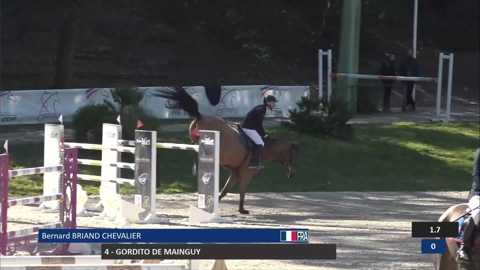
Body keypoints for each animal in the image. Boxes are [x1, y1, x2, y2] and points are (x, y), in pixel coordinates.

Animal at [154, 86, 298, 213]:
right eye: (294, 154)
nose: (292, 174)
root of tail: (201, 116)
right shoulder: (246, 175)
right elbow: (242, 192)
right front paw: (242, 210)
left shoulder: (234, 175)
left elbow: (224, 191)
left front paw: (212, 207)